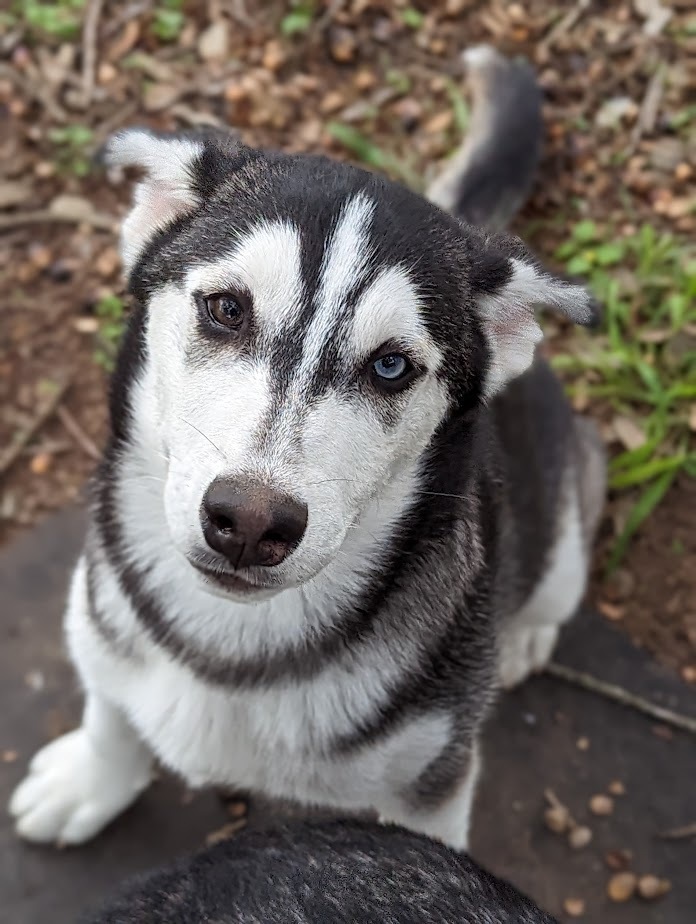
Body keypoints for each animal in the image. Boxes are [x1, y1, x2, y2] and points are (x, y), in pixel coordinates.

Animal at [8, 47, 604, 848]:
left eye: (392, 366)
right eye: (226, 308)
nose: (251, 522)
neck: (230, 648)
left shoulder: (432, 779)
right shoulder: (101, 621)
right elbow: (111, 709)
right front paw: (90, 781)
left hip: (565, 531)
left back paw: (525, 638)